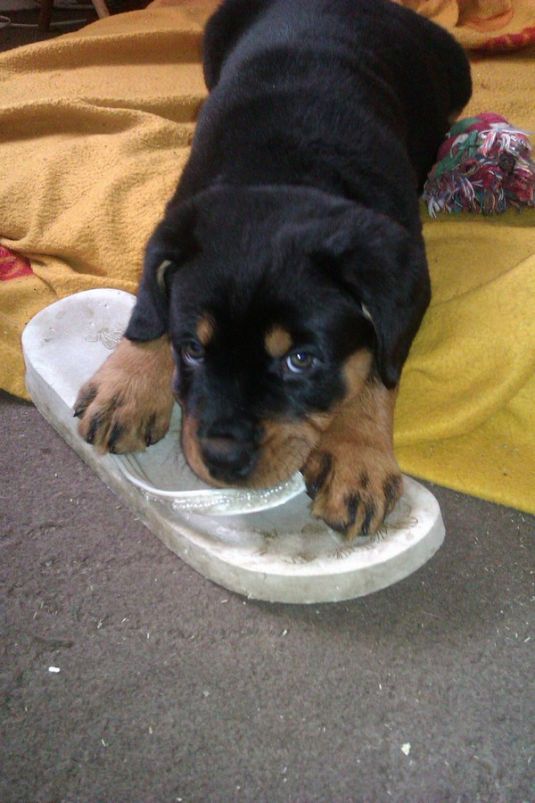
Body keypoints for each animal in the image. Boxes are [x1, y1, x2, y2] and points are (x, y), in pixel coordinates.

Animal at [73, 1, 472, 540]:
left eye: (301, 361)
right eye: (192, 349)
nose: (221, 460)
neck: (287, 170)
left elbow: (379, 364)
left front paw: (358, 454)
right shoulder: (178, 217)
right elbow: (151, 305)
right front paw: (127, 386)